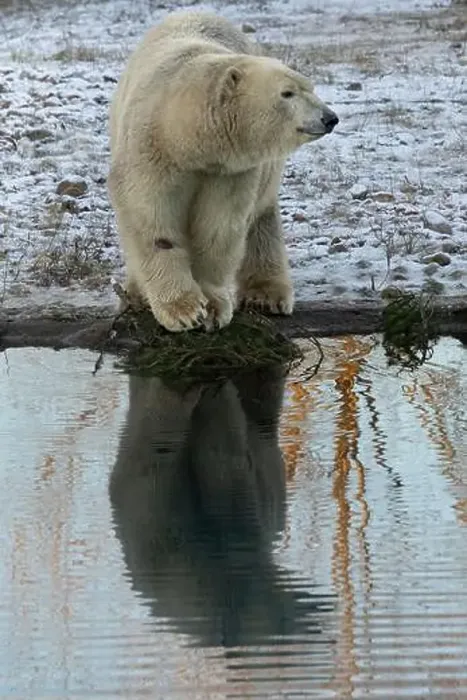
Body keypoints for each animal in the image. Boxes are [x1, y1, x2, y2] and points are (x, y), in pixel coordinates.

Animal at [108, 11, 339, 332]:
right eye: (287, 93)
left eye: (311, 87)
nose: (330, 118)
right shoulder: (151, 152)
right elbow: (151, 219)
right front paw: (183, 311)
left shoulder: (230, 169)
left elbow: (218, 228)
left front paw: (212, 309)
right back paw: (134, 296)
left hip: (266, 176)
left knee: (261, 222)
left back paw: (266, 296)